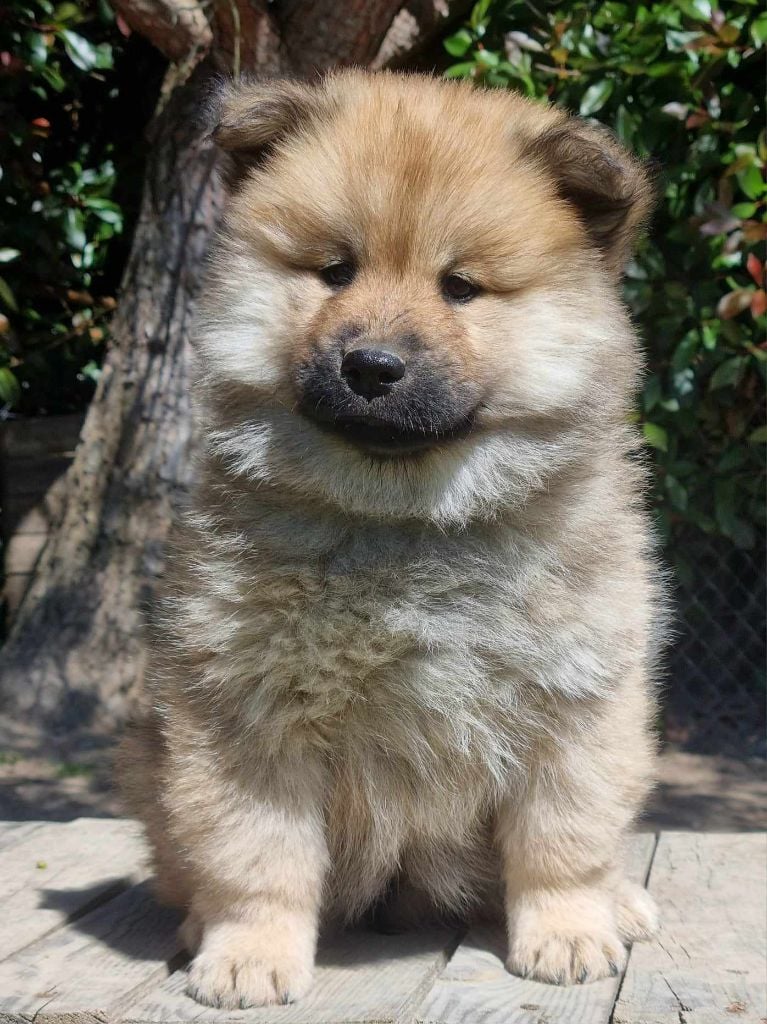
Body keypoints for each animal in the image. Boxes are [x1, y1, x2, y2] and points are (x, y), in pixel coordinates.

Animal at [119, 70, 662, 1009]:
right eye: (335, 271)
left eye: (460, 288)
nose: (371, 366)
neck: (405, 523)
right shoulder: (245, 712)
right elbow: (256, 854)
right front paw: (249, 953)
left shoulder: (576, 702)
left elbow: (562, 840)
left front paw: (567, 932)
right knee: (183, 867)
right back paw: (195, 928)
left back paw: (621, 904)